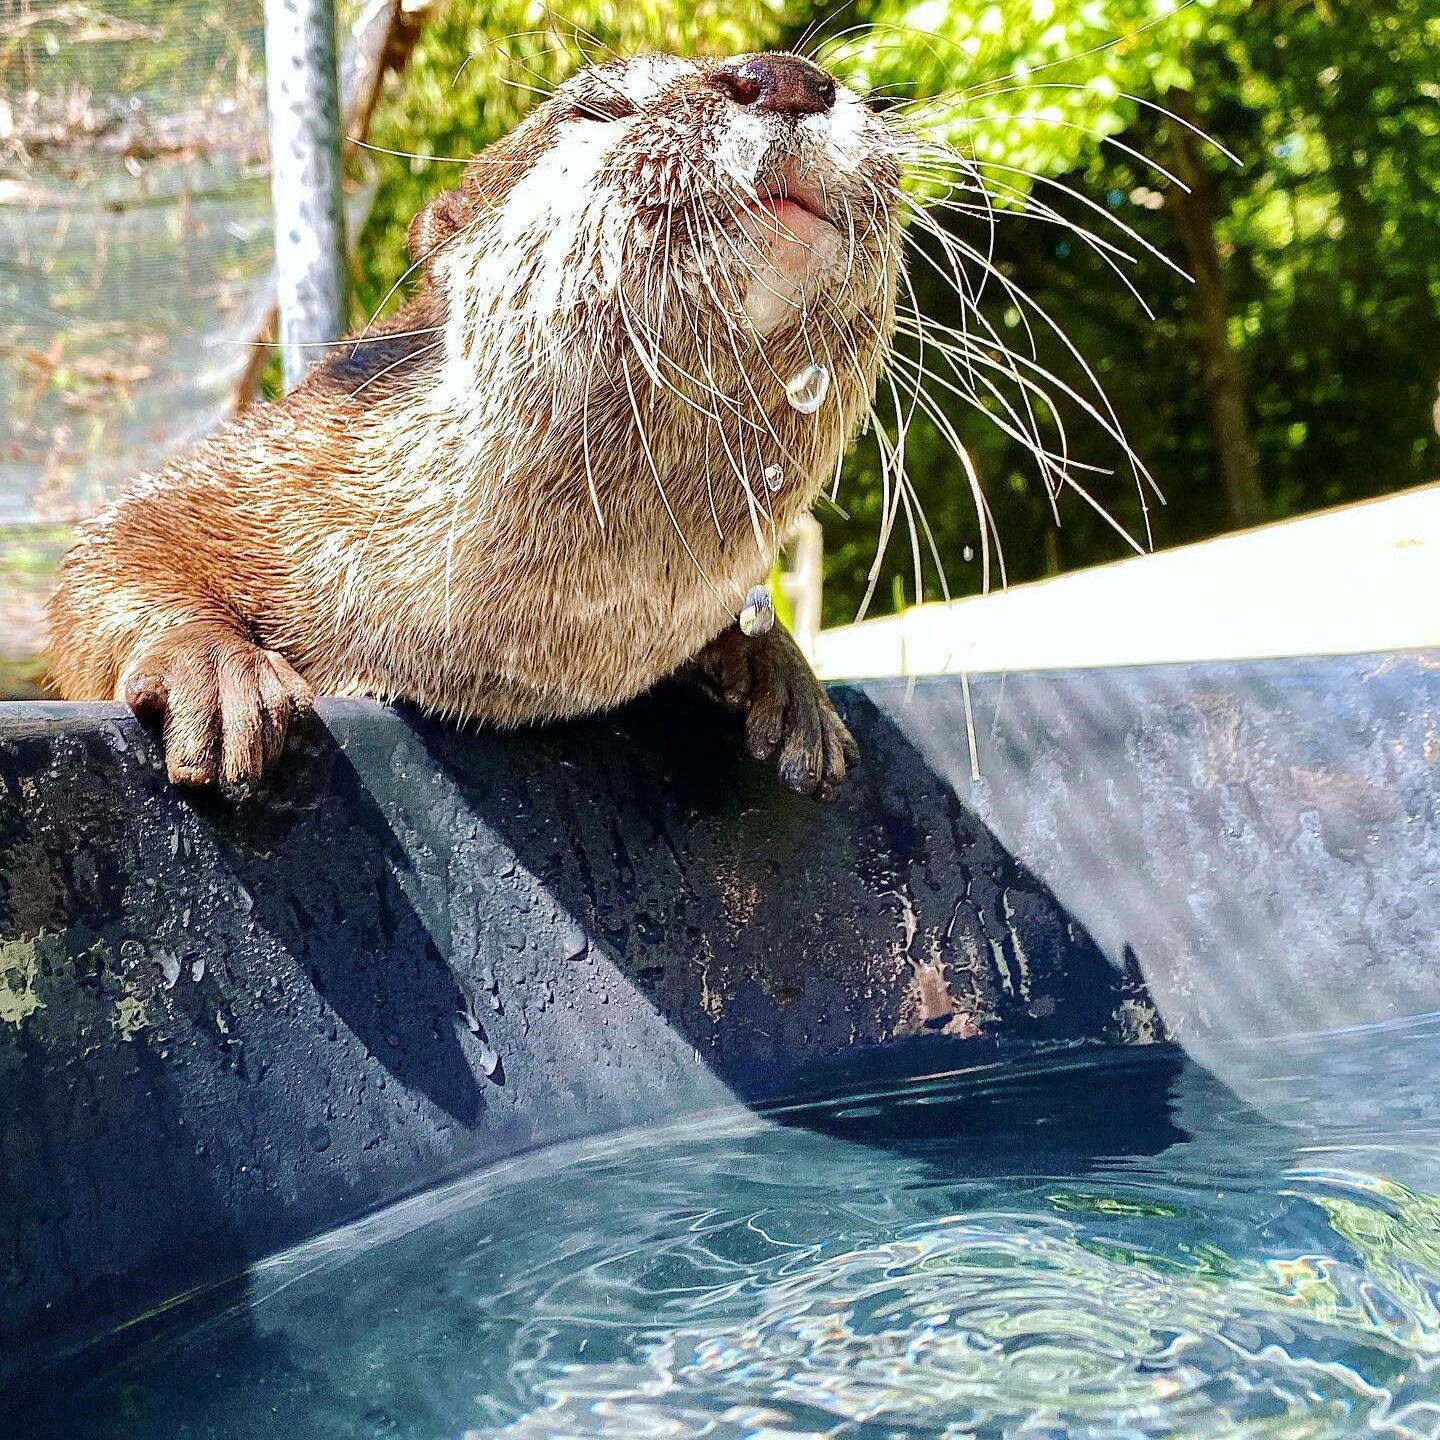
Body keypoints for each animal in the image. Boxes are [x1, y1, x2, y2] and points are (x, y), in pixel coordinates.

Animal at [50, 47, 898, 800]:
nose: (787, 76)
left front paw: (788, 681)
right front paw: (210, 665)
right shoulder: (276, 459)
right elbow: (110, 546)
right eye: (597, 108)